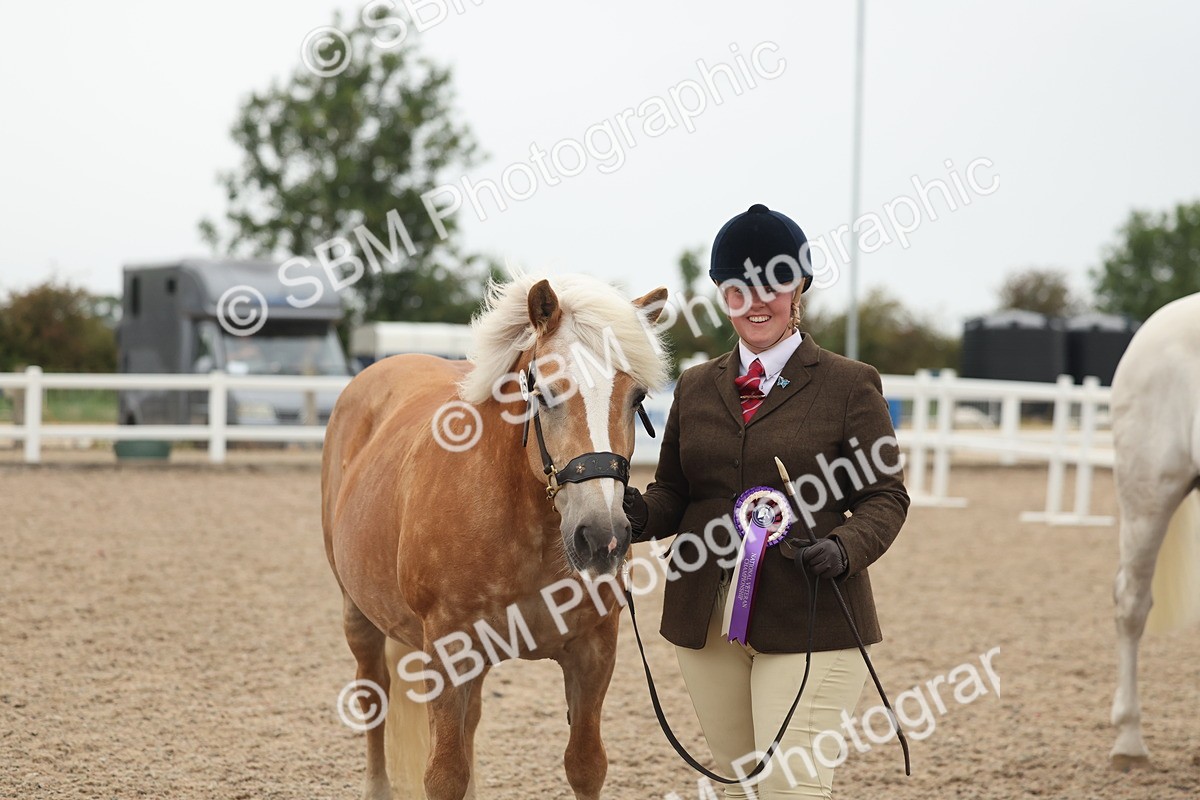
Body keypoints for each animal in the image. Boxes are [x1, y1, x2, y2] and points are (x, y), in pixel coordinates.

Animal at [321, 273, 670, 799]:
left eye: (637, 398)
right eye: (545, 394)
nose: (602, 536)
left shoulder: (593, 652)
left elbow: (585, 765)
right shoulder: (447, 650)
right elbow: (445, 774)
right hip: (358, 614)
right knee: (373, 699)